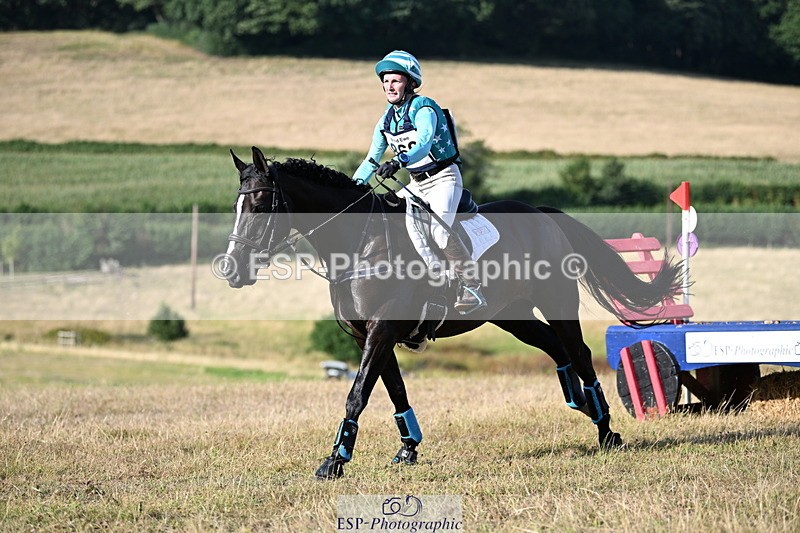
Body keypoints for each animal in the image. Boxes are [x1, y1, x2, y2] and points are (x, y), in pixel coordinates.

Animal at [220, 147, 681, 479]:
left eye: (260, 205)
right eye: (236, 206)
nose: (231, 269)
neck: (360, 245)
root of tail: (543, 215)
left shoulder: (382, 329)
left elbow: (358, 395)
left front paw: (335, 461)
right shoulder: (370, 335)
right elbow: (394, 390)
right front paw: (408, 449)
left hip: (557, 304)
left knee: (579, 352)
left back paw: (606, 428)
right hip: (513, 315)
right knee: (556, 349)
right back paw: (582, 404)